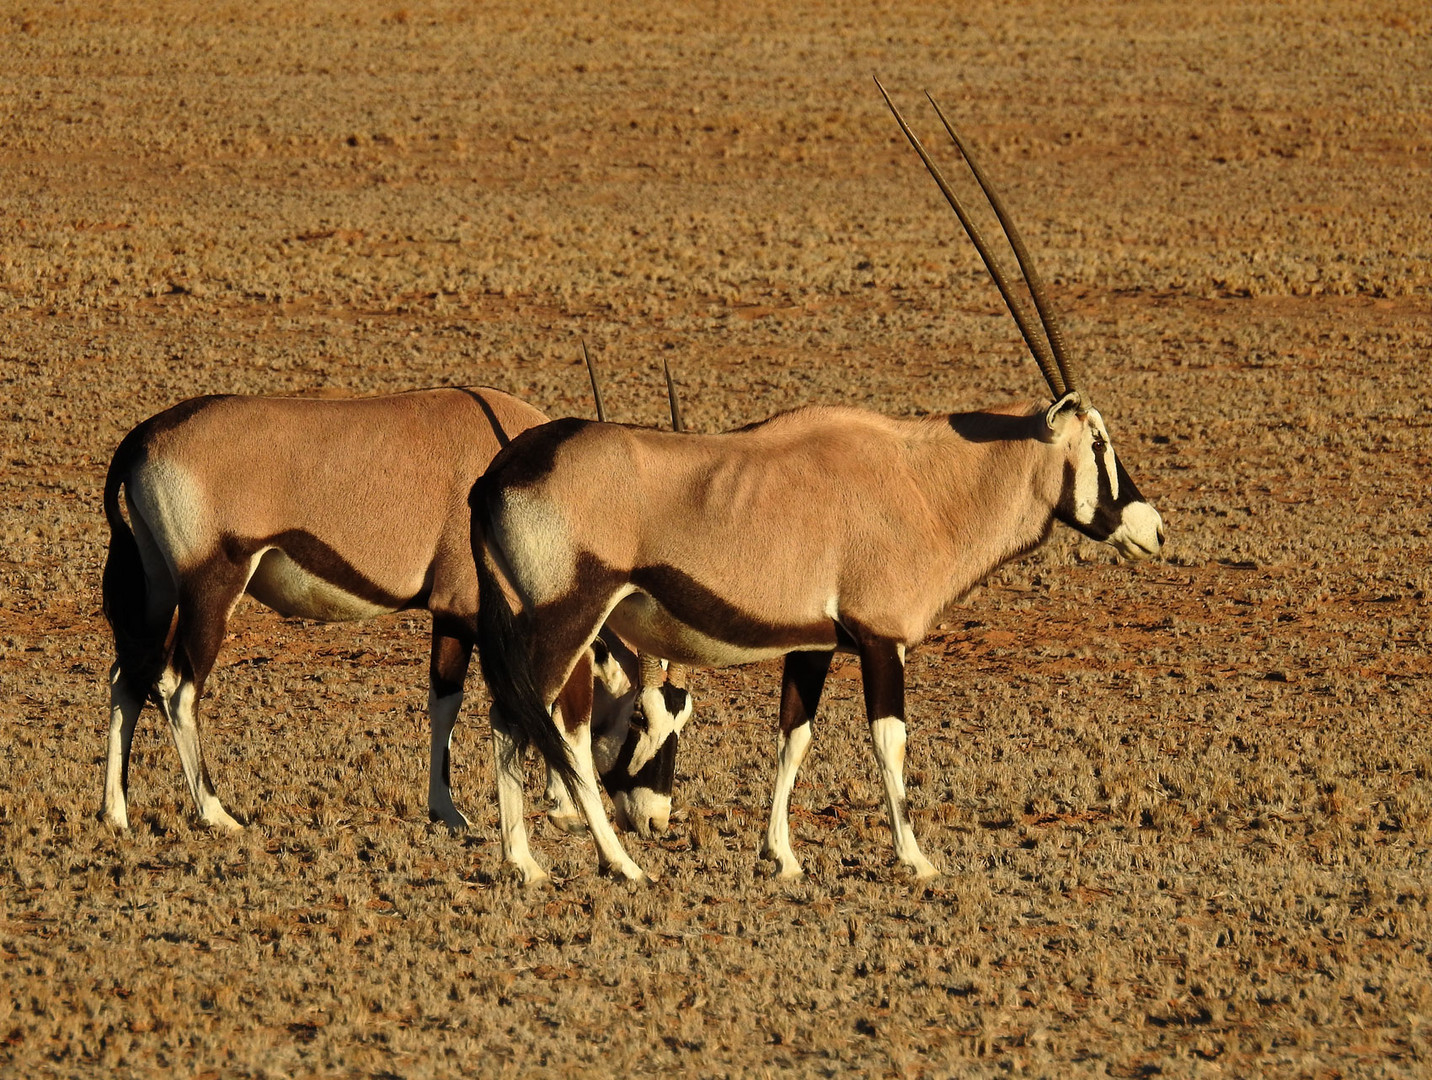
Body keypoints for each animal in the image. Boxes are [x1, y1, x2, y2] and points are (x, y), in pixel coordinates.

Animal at [99, 383, 681, 836]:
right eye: (638, 718)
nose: (655, 821)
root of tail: (144, 435)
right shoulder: (464, 610)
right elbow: (481, 703)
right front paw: (464, 812)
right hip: (211, 588)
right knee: (178, 687)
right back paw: (216, 814)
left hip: (158, 589)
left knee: (127, 678)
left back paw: (116, 815)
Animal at [469, 82, 1162, 876]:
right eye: (1099, 440)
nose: (1153, 529)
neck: (924, 480)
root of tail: (498, 473)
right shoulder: (882, 639)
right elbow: (889, 741)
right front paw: (915, 859)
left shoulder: (812, 644)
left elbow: (791, 739)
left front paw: (783, 856)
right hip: (563, 620)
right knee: (527, 721)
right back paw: (591, 863)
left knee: (519, 718)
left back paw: (538, 861)